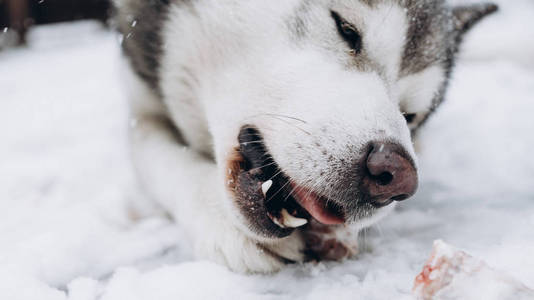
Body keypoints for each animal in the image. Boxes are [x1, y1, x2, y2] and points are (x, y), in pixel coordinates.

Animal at [113, 0, 498, 272]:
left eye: (409, 115)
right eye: (346, 28)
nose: (395, 175)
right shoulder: (141, 108)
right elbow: (157, 157)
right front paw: (218, 217)